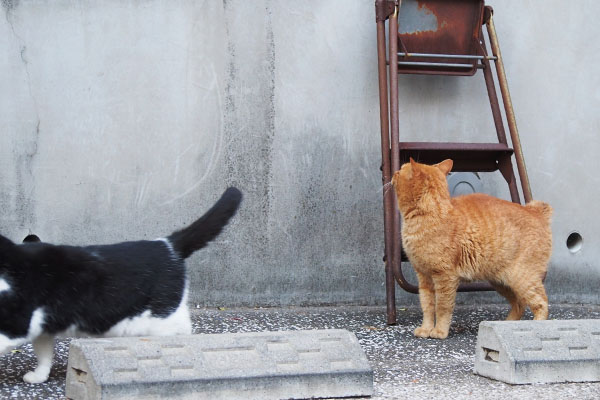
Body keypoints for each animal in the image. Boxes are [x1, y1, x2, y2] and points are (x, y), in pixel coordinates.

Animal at [1, 188, 244, 384]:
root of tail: (167, 244)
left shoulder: (17, 323)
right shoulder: (41, 325)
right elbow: (44, 352)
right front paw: (39, 376)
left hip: (161, 318)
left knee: (183, 330)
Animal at [392, 158, 552, 340]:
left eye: (400, 171)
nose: (393, 173)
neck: (428, 214)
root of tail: (535, 211)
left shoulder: (445, 277)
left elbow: (442, 307)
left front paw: (439, 331)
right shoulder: (424, 277)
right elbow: (427, 305)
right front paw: (426, 329)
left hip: (522, 278)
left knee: (541, 302)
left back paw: (535, 325)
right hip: (501, 282)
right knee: (519, 304)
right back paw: (504, 326)